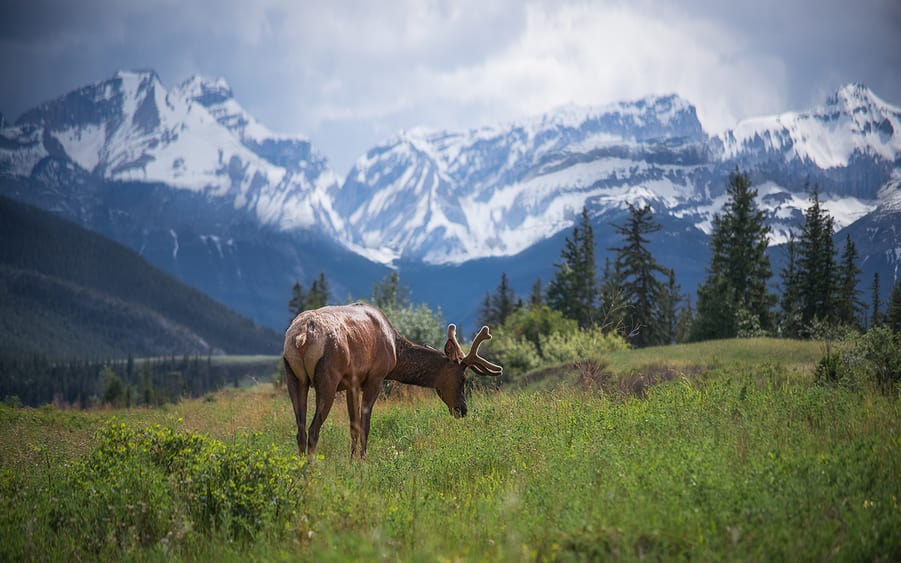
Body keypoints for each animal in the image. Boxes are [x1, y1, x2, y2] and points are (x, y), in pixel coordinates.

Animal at [284, 304, 500, 458]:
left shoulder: (351, 384)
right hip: (328, 377)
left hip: (294, 377)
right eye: (462, 378)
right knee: (313, 430)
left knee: (300, 431)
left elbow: (354, 426)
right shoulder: (376, 376)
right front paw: (363, 461)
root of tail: (301, 337)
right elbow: (365, 425)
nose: (463, 409)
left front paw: (352, 461)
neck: (395, 350)